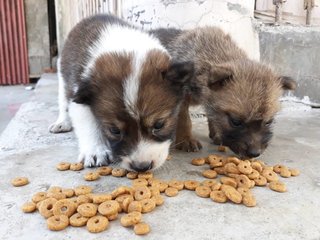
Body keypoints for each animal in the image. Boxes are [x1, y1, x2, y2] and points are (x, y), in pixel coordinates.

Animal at [47, 14, 194, 171]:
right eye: (114, 130)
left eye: (159, 125)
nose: (141, 167)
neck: (127, 48)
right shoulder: (78, 95)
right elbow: (88, 125)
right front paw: (95, 151)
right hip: (62, 76)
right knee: (63, 102)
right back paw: (62, 122)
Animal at [151, 26, 296, 158]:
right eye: (235, 122)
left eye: (268, 122)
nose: (254, 154)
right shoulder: (181, 97)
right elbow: (184, 119)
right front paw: (186, 140)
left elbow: (211, 114)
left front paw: (216, 133)